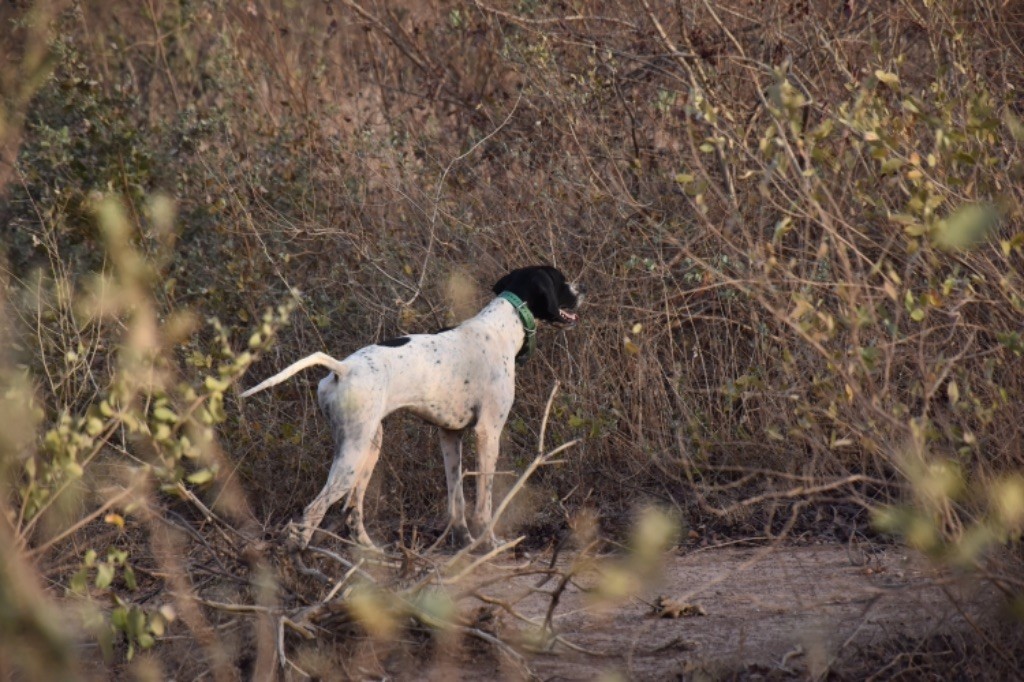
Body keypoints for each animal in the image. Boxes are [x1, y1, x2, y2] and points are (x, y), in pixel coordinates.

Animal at [234, 266, 581, 548]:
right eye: (562, 281)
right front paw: (489, 544)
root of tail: (341, 368)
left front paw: (463, 542)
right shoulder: (488, 433)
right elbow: (484, 503)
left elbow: (456, 500)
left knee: (352, 511)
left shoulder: (449, 436)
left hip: (369, 448)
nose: (583, 290)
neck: (502, 324)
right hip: (352, 458)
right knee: (312, 512)